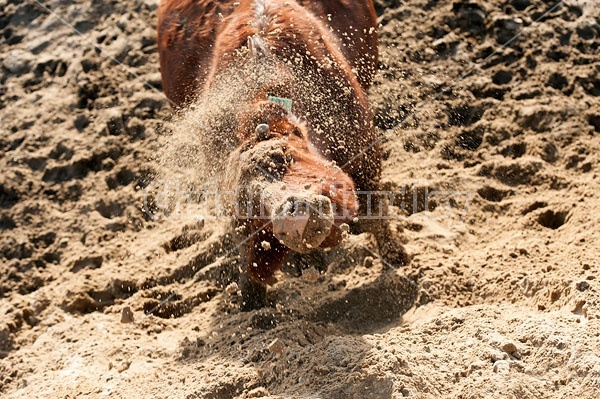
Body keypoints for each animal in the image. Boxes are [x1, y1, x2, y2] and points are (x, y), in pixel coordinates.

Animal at [156, 0, 408, 310]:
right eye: (249, 205)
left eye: (283, 155)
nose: (291, 215)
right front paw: (250, 302)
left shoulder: (365, 149)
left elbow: (376, 211)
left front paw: (400, 259)